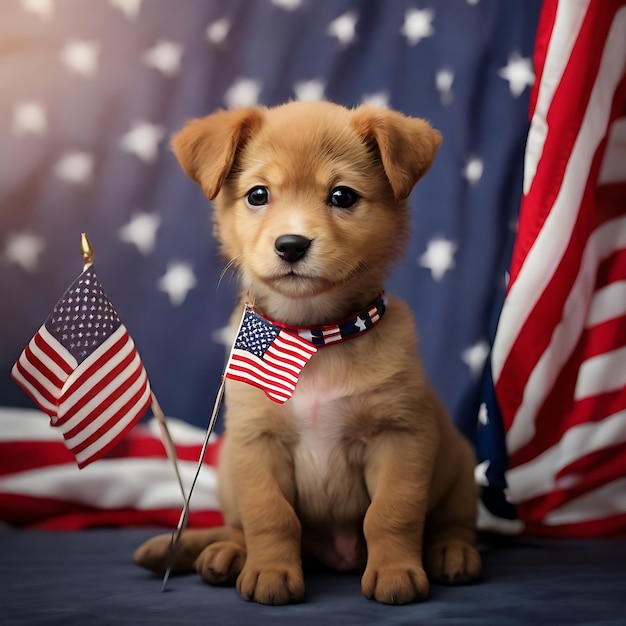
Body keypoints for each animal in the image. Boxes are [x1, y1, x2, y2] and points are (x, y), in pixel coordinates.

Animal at [134, 100, 480, 604]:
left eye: (342, 196)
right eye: (258, 194)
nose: (292, 245)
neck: (312, 336)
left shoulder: (400, 438)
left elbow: (391, 514)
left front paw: (395, 571)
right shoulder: (255, 444)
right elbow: (270, 516)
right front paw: (270, 571)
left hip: (459, 463)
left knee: (456, 522)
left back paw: (452, 550)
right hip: (229, 471)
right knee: (236, 528)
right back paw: (223, 553)